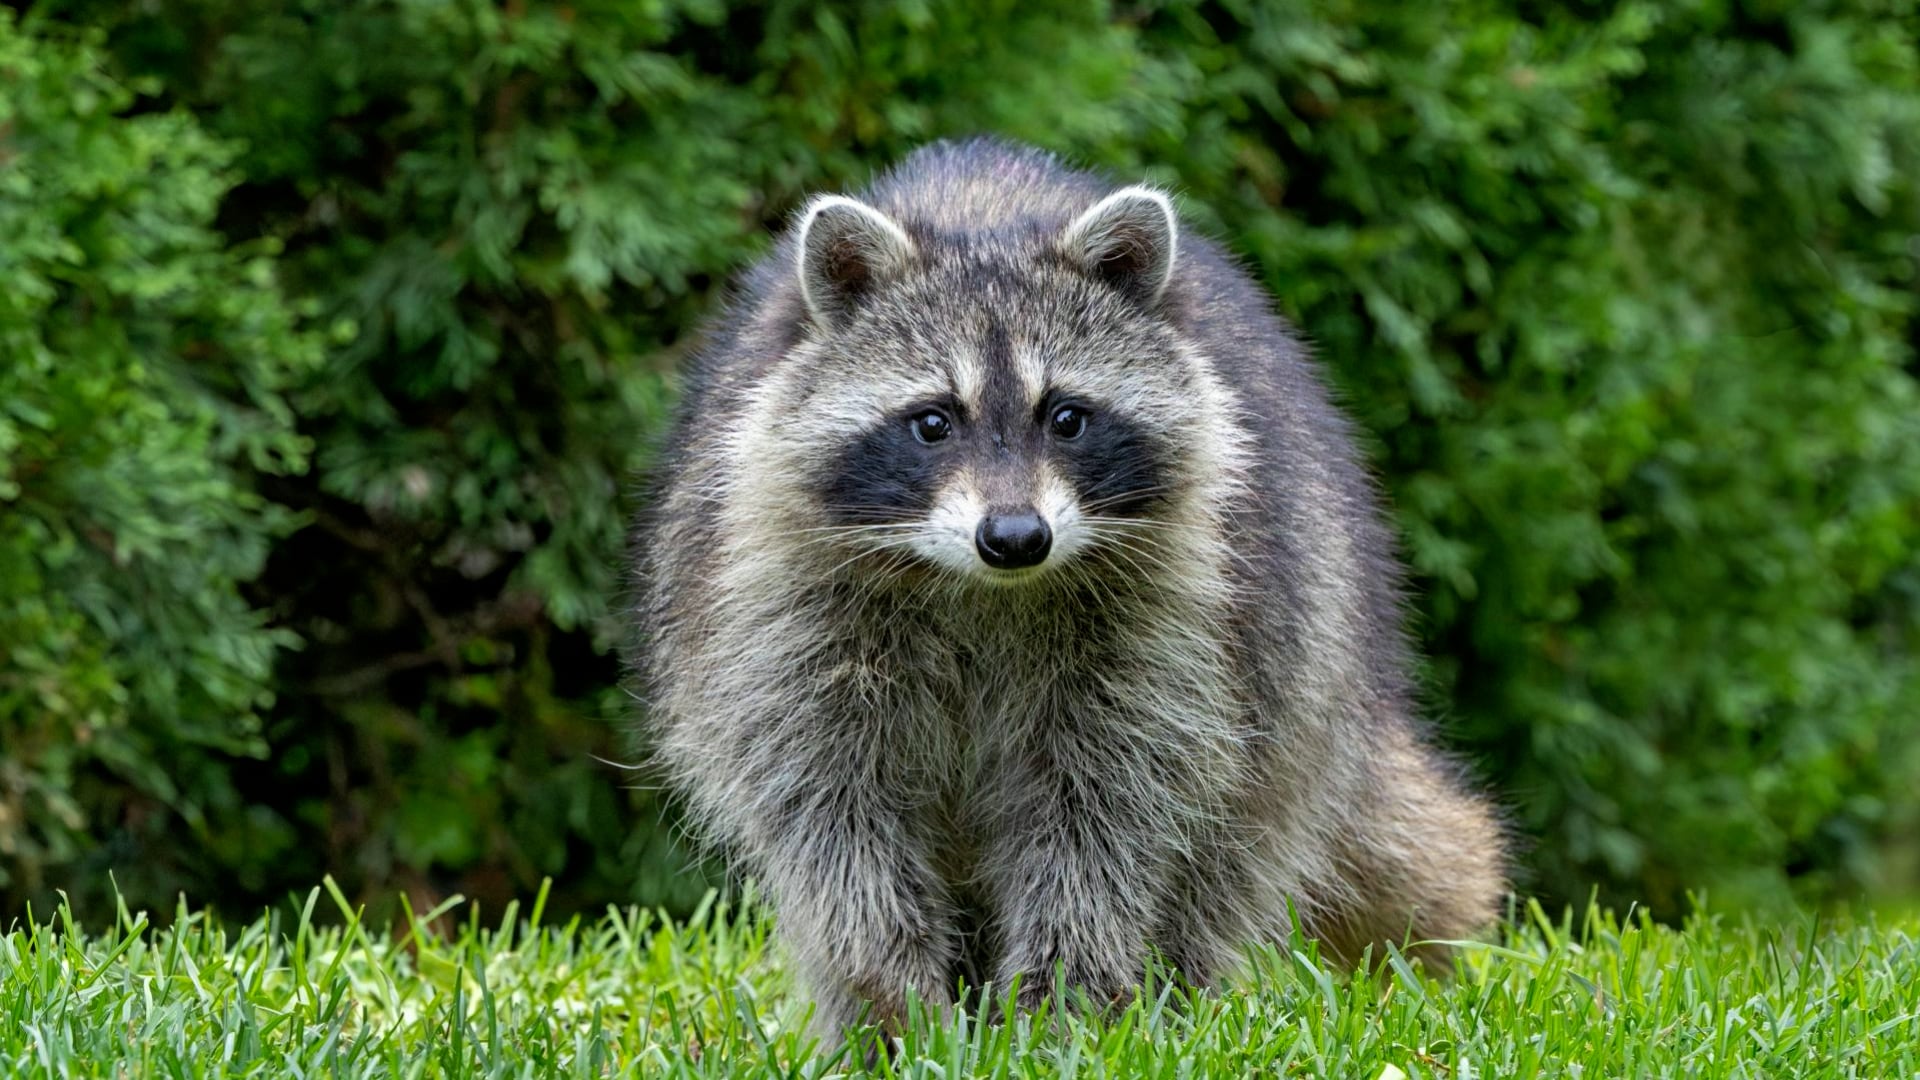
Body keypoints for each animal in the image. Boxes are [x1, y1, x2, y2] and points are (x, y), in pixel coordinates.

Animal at [628, 139, 1504, 1041]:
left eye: (1068, 417)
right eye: (933, 421)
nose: (1016, 538)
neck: (983, 588)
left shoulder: (1176, 624)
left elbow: (1106, 819)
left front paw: (1063, 1010)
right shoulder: (780, 605)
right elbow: (833, 822)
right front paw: (894, 1006)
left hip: (1302, 664)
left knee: (1223, 857)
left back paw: (1172, 995)